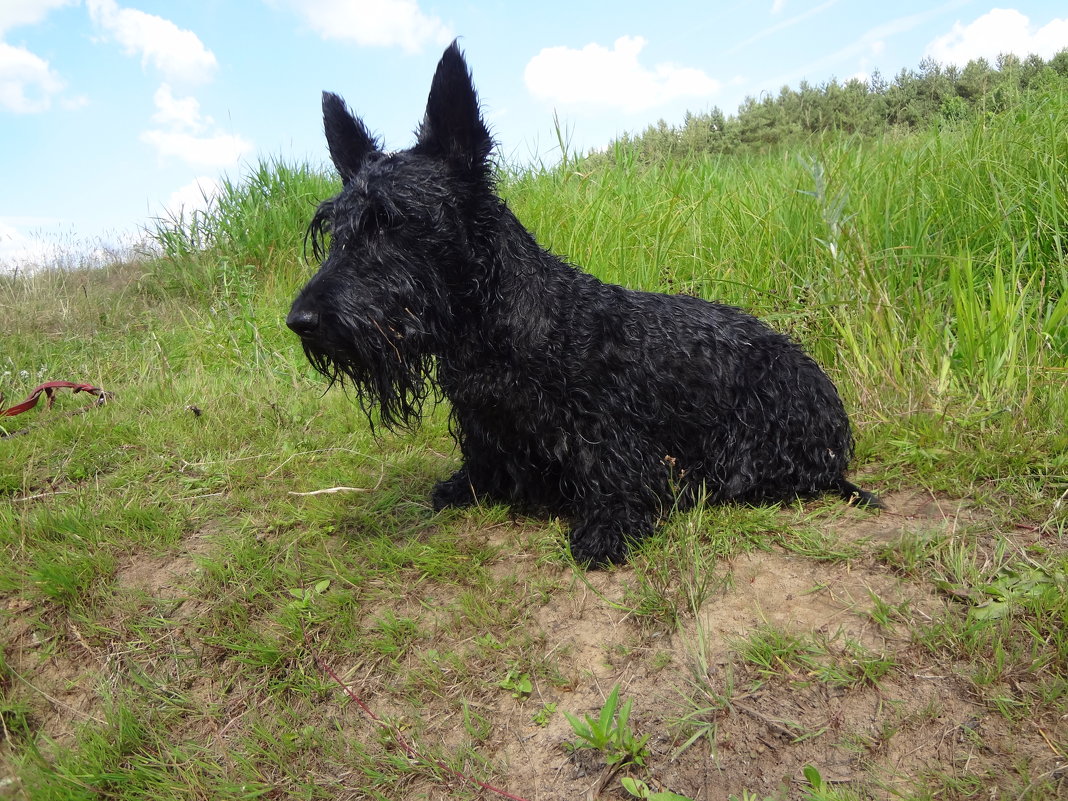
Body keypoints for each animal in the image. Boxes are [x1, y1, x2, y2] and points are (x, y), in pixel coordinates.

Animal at [288, 42, 880, 563]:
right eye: (334, 230)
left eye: (393, 220)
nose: (301, 321)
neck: (499, 326)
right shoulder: (482, 424)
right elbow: (479, 463)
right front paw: (463, 486)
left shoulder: (609, 439)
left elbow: (614, 485)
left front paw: (606, 528)